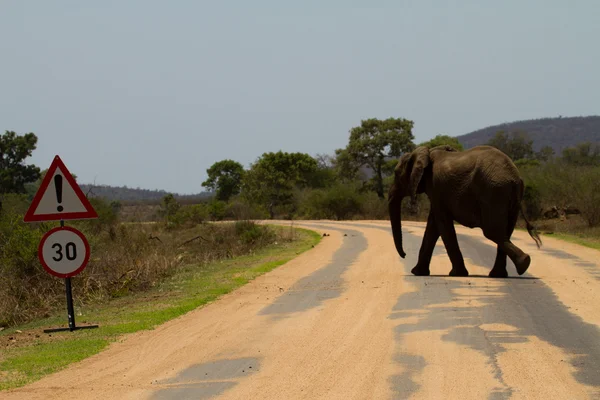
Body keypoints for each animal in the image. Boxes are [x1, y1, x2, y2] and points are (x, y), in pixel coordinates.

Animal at [390, 145, 544, 278]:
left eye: (396, 174)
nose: (404, 255)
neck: (426, 152)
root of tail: (514, 176)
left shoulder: (436, 187)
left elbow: (442, 224)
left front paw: (456, 274)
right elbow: (433, 226)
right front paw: (418, 272)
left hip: (493, 191)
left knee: (492, 231)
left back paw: (523, 264)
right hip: (509, 195)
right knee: (506, 231)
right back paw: (504, 272)